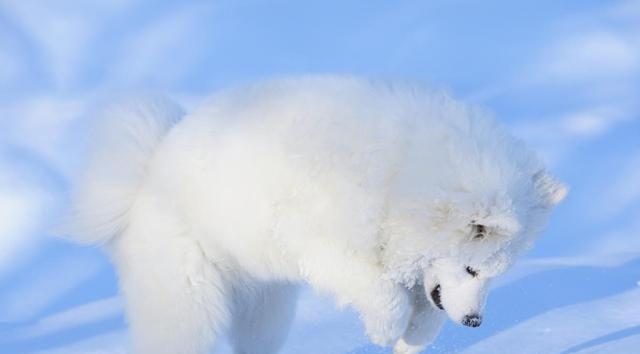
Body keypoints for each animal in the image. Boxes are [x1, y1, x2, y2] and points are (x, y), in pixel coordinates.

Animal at [62, 76, 568, 354]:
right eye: (473, 268)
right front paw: (385, 330)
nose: (476, 324)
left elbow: (425, 309)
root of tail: (144, 176)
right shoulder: (327, 247)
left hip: (265, 308)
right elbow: (386, 297)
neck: (399, 176)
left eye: (495, 274)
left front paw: (411, 339)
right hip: (189, 303)